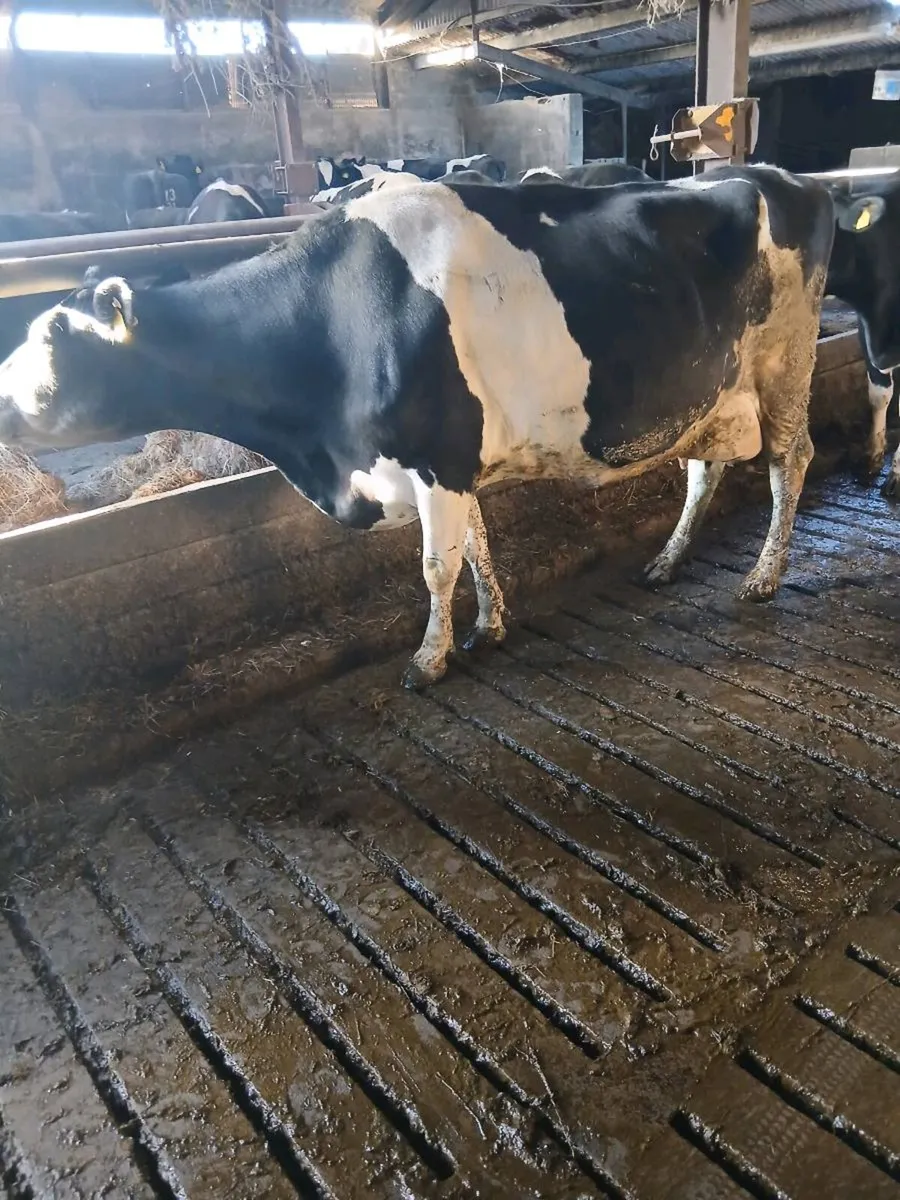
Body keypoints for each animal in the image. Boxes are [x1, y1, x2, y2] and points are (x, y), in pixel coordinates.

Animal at [0, 167, 834, 690]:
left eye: (54, 343)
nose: (3, 398)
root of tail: (783, 178)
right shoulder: (455, 464)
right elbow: (477, 549)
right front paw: (489, 627)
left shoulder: (436, 457)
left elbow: (436, 566)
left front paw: (428, 660)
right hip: (714, 390)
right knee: (704, 467)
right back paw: (665, 561)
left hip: (786, 359)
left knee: (790, 461)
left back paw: (763, 577)